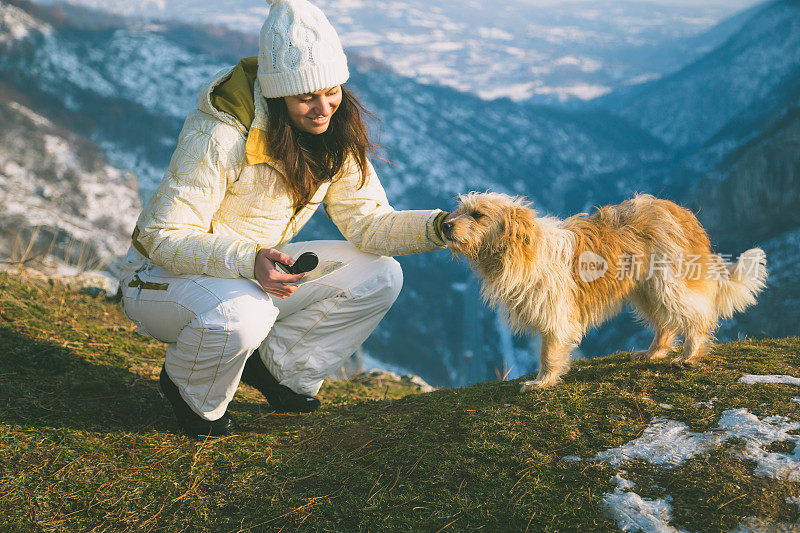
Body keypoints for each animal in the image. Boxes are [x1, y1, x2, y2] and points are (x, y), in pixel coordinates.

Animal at [444, 193, 768, 388]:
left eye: (478, 214)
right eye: (460, 209)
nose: (445, 225)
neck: (517, 249)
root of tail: (680, 213)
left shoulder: (556, 312)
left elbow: (548, 351)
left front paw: (543, 381)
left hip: (667, 283)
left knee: (697, 317)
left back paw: (689, 354)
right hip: (646, 289)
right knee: (665, 323)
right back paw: (654, 352)